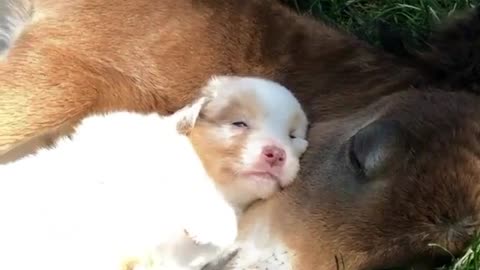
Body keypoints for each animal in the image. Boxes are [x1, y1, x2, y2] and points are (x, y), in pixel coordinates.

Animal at [0, 75, 308, 270]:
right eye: (239, 123)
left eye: (292, 136)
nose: (276, 154)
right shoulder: (123, 139)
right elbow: (179, 169)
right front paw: (213, 219)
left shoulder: (175, 258)